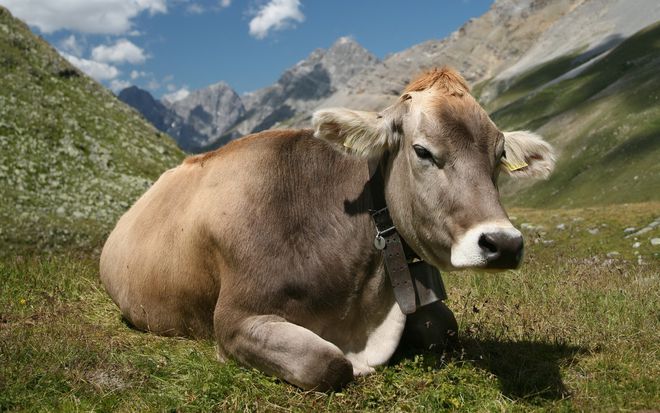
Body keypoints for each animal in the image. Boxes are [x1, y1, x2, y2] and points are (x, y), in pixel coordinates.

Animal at [100, 67, 556, 390]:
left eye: (499, 156)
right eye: (423, 151)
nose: (503, 243)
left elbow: (444, 327)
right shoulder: (234, 319)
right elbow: (328, 364)